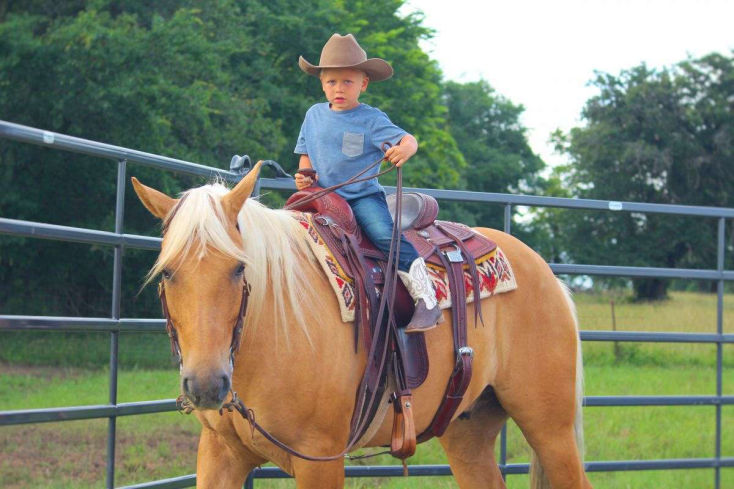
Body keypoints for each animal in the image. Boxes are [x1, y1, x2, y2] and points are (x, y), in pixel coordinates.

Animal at [131, 162, 592, 489]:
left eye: (238, 268)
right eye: (168, 272)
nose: (207, 384)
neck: (275, 327)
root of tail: (547, 274)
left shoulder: (320, 459)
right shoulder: (220, 455)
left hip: (549, 429)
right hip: (469, 428)